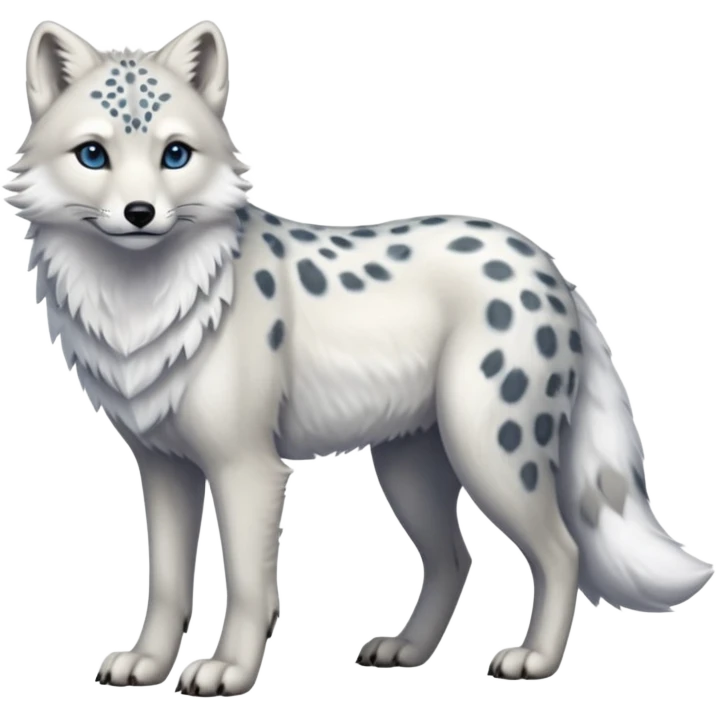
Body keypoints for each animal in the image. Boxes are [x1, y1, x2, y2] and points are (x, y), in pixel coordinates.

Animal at [5, 19, 714, 698]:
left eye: (174, 154)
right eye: (93, 154)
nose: (140, 212)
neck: (144, 306)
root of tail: (547, 264)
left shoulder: (247, 469)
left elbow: (250, 587)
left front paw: (228, 672)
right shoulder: (163, 468)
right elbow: (167, 584)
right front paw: (147, 665)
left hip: (491, 455)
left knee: (560, 550)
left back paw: (534, 660)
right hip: (410, 470)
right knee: (455, 559)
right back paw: (407, 652)